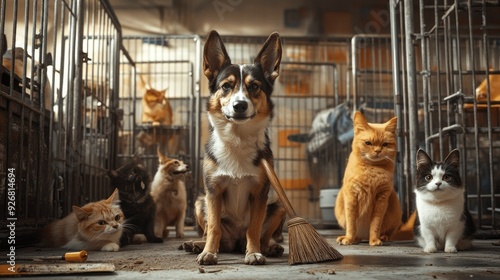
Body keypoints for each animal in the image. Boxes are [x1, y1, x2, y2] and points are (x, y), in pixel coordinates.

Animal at [183, 31, 286, 266]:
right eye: (226, 86)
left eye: (255, 86)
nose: (240, 105)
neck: (237, 140)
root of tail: (235, 242)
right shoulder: (213, 191)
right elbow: (214, 227)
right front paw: (208, 253)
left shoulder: (260, 193)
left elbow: (254, 228)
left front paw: (254, 252)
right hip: (199, 202)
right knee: (212, 234)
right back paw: (197, 244)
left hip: (278, 206)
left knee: (262, 235)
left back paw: (269, 247)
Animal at [336, 110, 402, 246]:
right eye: (368, 143)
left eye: (385, 144)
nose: (377, 151)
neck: (372, 168)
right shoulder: (351, 198)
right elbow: (351, 224)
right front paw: (348, 239)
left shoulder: (381, 199)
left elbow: (375, 224)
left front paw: (375, 240)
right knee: (356, 233)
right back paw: (349, 238)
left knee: (389, 233)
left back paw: (383, 237)